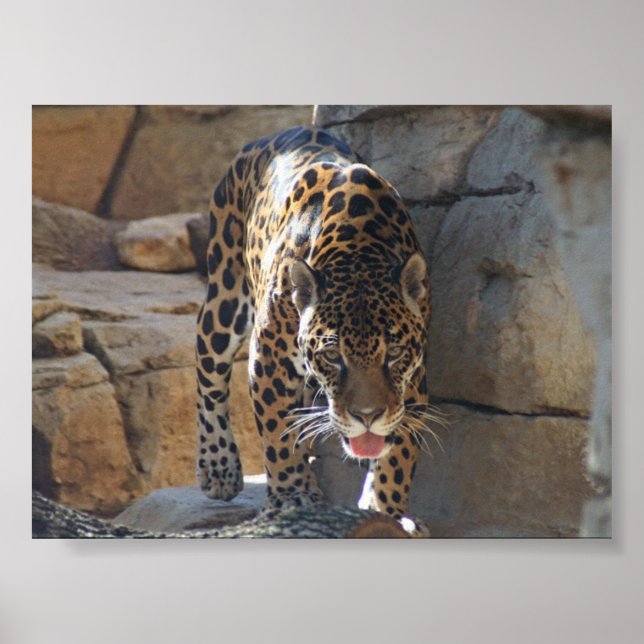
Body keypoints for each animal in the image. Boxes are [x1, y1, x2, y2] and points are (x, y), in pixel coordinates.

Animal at [195, 125, 432, 526]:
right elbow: (276, 427)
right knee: (207, 366)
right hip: (225, 294)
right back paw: (218, 466)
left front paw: (385, 507)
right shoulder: (269, 356)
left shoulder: (414, 373)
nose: (367, 417)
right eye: (333, 356)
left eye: (396, 353)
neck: (359, 253)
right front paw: (293, 496)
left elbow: (400, 444)